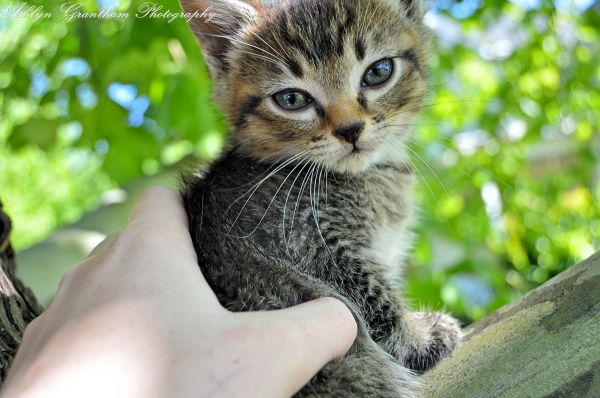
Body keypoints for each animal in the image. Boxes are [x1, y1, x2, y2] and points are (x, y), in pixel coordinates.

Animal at [180, 0, 462, 394]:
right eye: (291, 99)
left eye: (379, 72)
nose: (350, 129)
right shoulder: (308, 244)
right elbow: (370, 294)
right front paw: (418, 337)